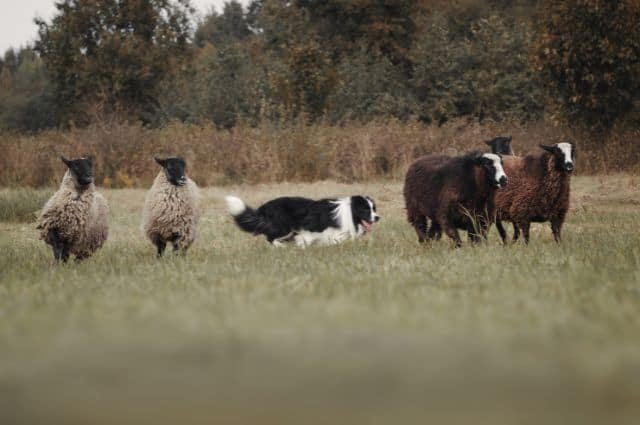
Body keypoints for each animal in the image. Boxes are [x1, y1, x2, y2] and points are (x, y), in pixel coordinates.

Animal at [226, 195, 380, 247]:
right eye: (366, 210)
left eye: (373, 208)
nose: (378, 217)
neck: (350, 211)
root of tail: (264, 208)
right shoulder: (311, 230)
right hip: (284, 228)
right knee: (270, 238)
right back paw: (280, 247)